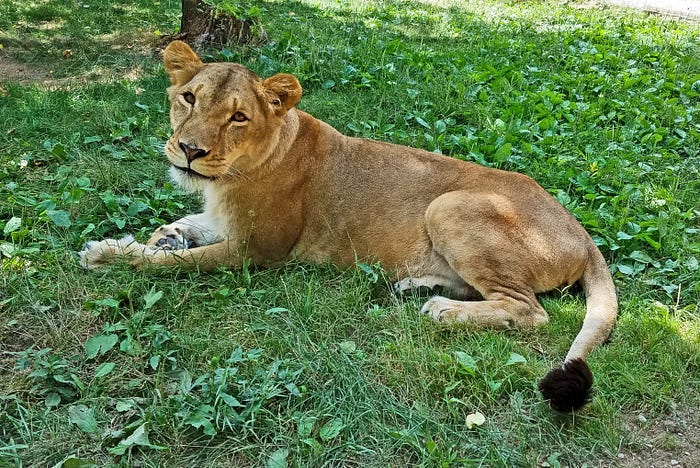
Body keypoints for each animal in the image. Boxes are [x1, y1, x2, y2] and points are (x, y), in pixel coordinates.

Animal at [79, 40, 618, 412]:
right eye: (189, 98)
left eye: (238, 117)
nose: (189, 150)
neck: (231, 176)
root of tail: (583, 234)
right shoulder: (221, 221)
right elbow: (182, 228)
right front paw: (163, 236)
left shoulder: (257, 251)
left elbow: (171, 266)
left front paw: (108, 253)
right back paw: (415, 286)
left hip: (448, 205)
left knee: (530, 311)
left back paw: (441, 309)